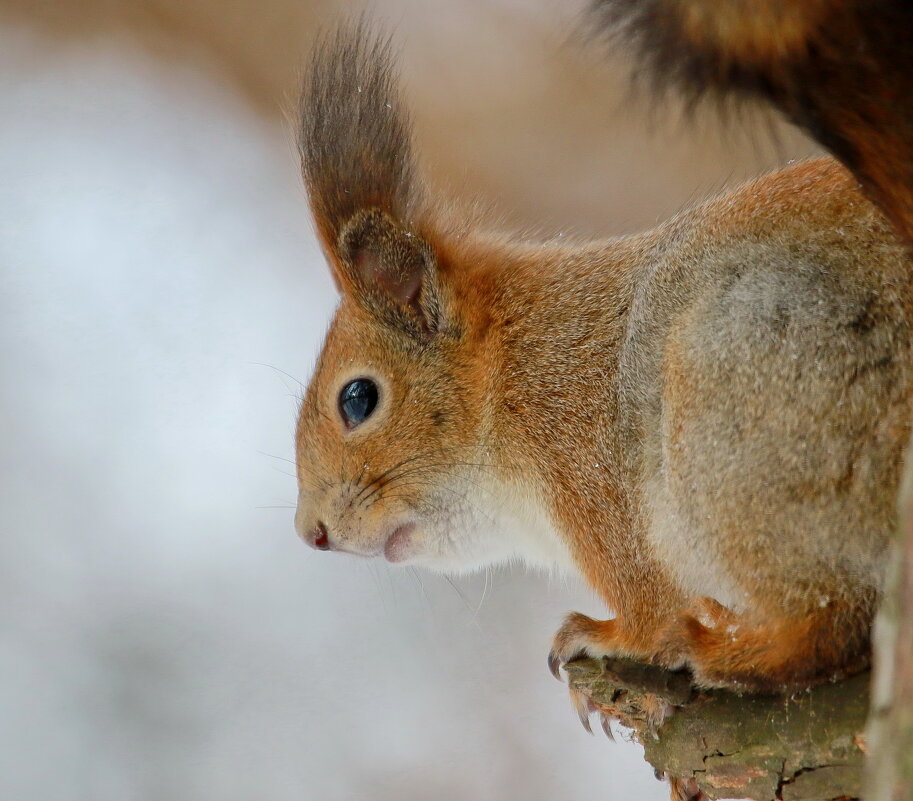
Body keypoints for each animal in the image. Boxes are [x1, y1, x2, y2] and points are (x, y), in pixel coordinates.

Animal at [292, 21, 912, 704]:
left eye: (358, 399)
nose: (311, 532)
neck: (509, 368)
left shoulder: (583, 459)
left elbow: (648, 607)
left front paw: (610, 635)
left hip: (744, 415)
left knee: (834, 626)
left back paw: (726, 654)